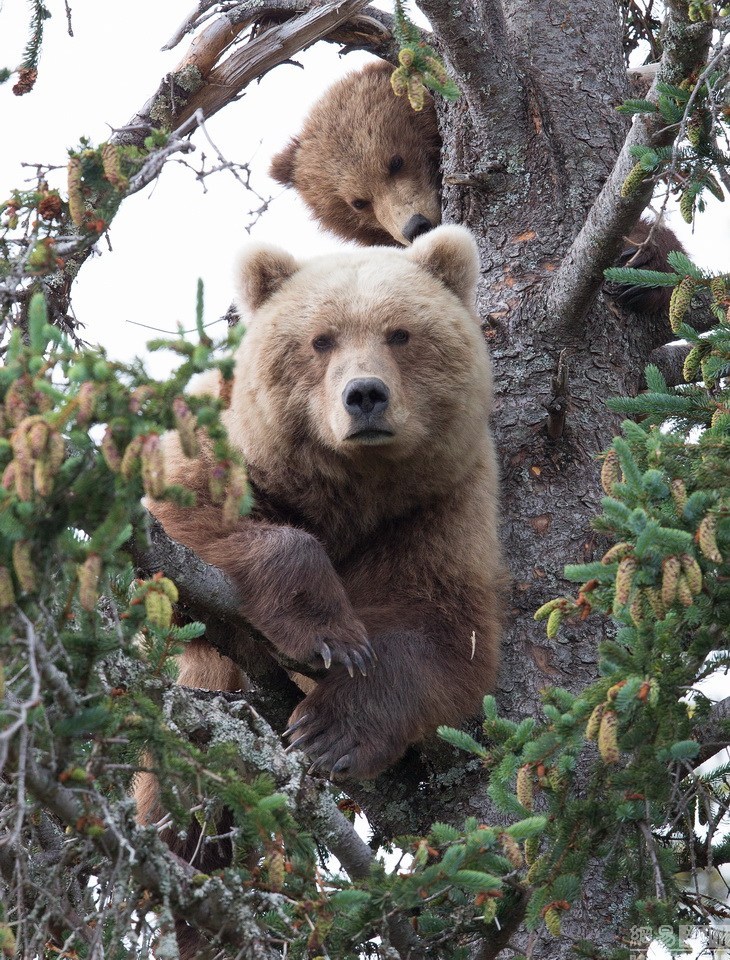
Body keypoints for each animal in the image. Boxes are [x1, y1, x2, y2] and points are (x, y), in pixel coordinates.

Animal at [146, 225, 504, 780]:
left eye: (399, 334)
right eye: (321, 339)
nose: (365, 395)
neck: (352, 486)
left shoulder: (438, 505)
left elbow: (444, 628)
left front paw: (329, 731)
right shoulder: (227, 454)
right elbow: (187, 521)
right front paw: (332, 636)